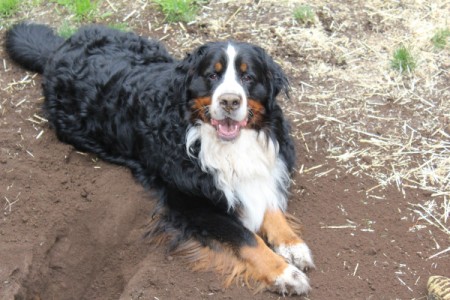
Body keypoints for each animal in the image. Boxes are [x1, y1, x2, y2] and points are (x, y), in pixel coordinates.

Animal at [4, 23, 312, 296]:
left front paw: (293, 245)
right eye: (212, 76)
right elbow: (246, 238)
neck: (223, 144)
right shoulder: (190, 201)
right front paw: (285, 273)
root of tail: (59, 49)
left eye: (248, 78)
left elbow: (271, 209)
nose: (229, 101)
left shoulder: (262, 171)